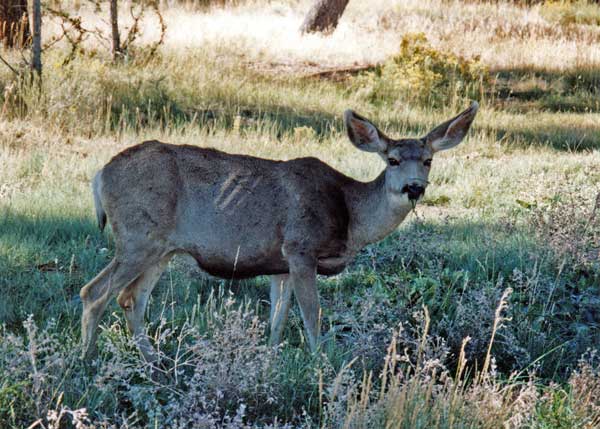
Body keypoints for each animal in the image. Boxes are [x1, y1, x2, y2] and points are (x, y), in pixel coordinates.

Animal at [81, 102, 478, 360]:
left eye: (428, 160)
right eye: (392, 160)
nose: (414, 187)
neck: (350, 214)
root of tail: (100, 175)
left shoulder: (280, 264)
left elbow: (277, 318)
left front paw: (270, 359)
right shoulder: (301, 247)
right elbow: (311, 315)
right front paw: (320, 363)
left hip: (161, 249)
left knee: (130, 299)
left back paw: (153, 361)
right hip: (137, 238)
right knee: (94, 293)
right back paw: (87, 360)